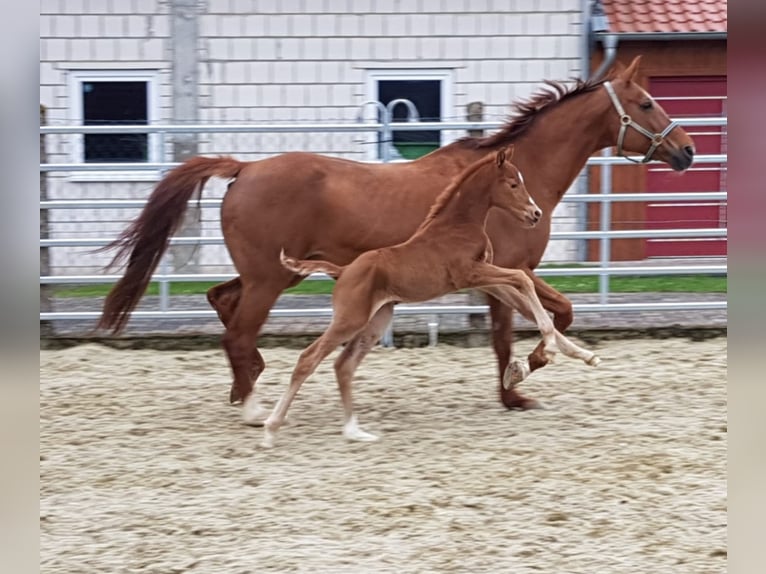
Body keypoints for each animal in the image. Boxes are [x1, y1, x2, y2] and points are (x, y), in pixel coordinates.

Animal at [260, 146, 604, 448]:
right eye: (513, 183)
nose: (535, 213)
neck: (458, 224)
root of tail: (343, 270)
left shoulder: (487, 279)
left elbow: (526, 297)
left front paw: (583, 356)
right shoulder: (472, 274)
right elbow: (523, 282)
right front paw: (548, 349)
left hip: (375, 320)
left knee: (343, 366)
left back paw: (354, 431)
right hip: (350, 318)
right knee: (309, 359)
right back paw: (271, 430)